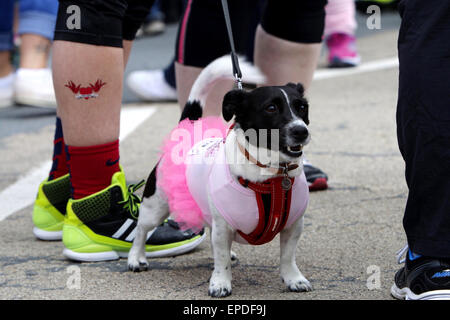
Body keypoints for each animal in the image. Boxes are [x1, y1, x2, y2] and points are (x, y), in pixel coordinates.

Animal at [128, 55, 312, 298]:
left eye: (302, 107)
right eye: (271, 108)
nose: (301, 131)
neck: (271, 174)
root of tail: (187, 130)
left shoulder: (293, 226)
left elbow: (288, 256)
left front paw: (294, 279)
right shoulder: (224, 226)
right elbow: (221, 259)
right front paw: (220, 283)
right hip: (155, 207)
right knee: (141, 230)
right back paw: (135, 258)